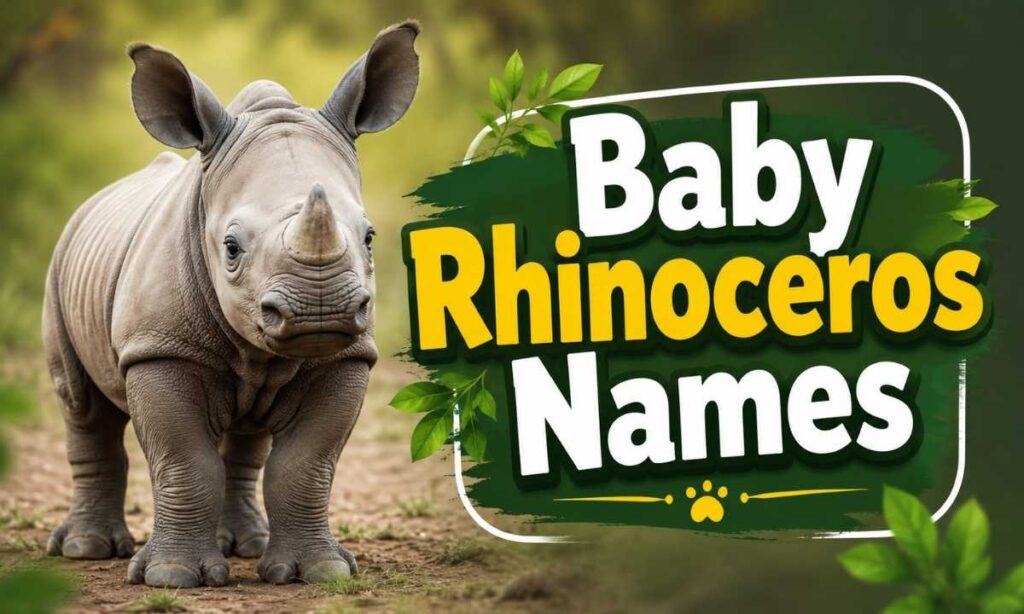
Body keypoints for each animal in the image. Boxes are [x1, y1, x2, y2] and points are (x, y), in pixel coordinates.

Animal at [42, 22, 420, 588]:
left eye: (370, 237)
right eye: (231, 247)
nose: (320, 310)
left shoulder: (346, 356)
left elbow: (307, 464)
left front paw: (321, 571)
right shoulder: (159, 349)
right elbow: (185, 460)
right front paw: (173, 577)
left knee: (248, 436)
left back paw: (247, 546)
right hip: (62, 262)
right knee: (83, 407)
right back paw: (86, 550)